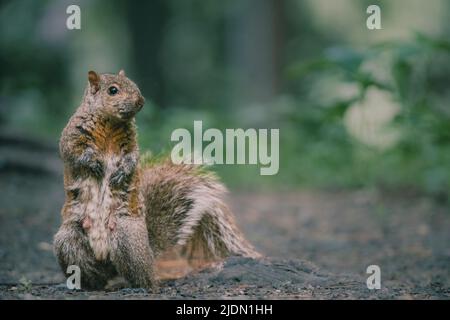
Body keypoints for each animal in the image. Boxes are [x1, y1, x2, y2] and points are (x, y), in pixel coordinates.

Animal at [53, 70, 260, 290]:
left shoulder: (131, 144)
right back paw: (83, 285)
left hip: (127, 238)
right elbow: (72, 152)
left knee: (143, 277)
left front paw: (122, 172)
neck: (109, 122)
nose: (141, 101)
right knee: (94, 274)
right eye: (112, 90)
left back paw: (139, 285)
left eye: (134, 84)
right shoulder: (72, 135)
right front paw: (93, 163)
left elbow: (132, 158)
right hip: (69, 241)